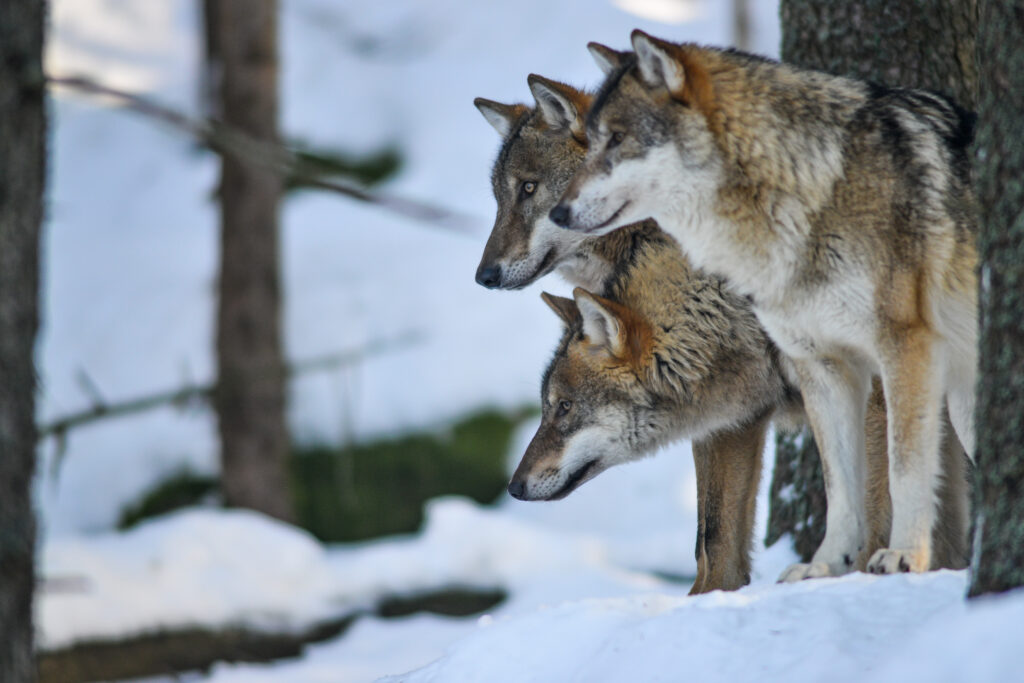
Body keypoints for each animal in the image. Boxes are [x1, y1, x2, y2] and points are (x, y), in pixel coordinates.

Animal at [471, 78, 966, 593]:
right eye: (500, 198)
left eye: (529, 188)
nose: (484, 275)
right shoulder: (731, 413)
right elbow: (712, 539)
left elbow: (876, 499)